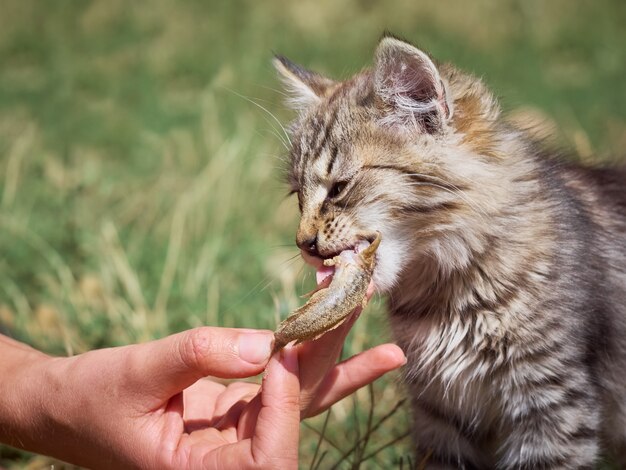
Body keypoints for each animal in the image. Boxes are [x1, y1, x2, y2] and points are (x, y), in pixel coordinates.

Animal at [272, 35, 624, 468]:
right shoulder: (441, 413)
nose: (303, 244)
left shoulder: (553, 402)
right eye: (297, 196)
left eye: (339, 188)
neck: (446, 295)